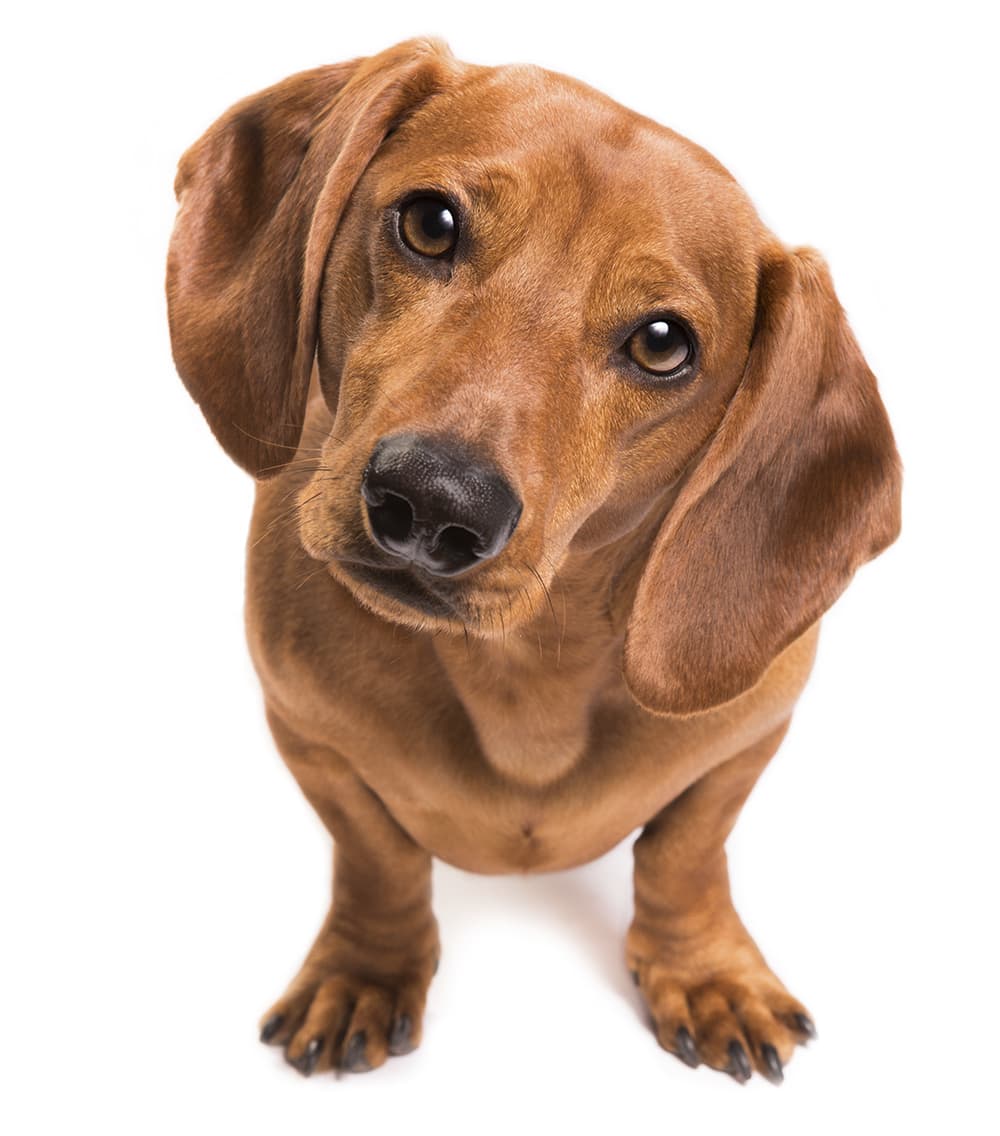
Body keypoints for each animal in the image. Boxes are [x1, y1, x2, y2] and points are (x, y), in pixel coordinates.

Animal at [168, 35, 904, 1081]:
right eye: (430, 223)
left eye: (664, 342)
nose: (434, 503)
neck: (526, 670)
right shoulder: (308, 737)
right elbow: (378, 858)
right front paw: (369, 969)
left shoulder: (746, 741)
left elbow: (685, 853)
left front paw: (707, 971)